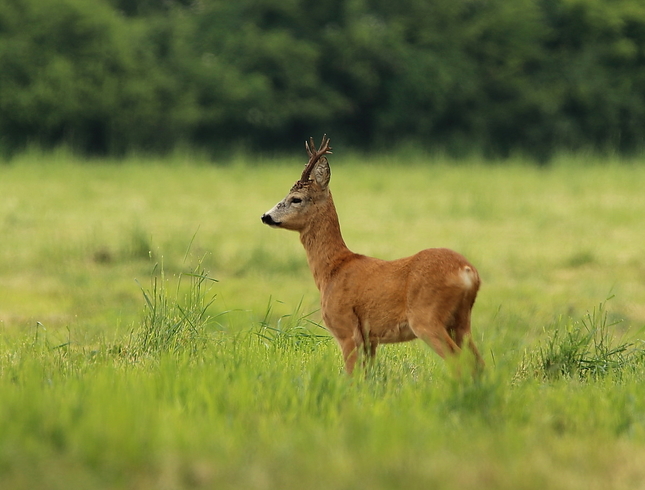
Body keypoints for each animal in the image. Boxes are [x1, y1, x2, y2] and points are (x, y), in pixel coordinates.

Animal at [262, 136, 484, 374]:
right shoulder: (371, 339)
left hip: (427, 317)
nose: (265, 216)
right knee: (479, 363)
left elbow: (351, 375)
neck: (332, 270)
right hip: (461, 321)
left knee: (459, 362)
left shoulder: (346, 329)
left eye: (296, 199)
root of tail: (468, 272)